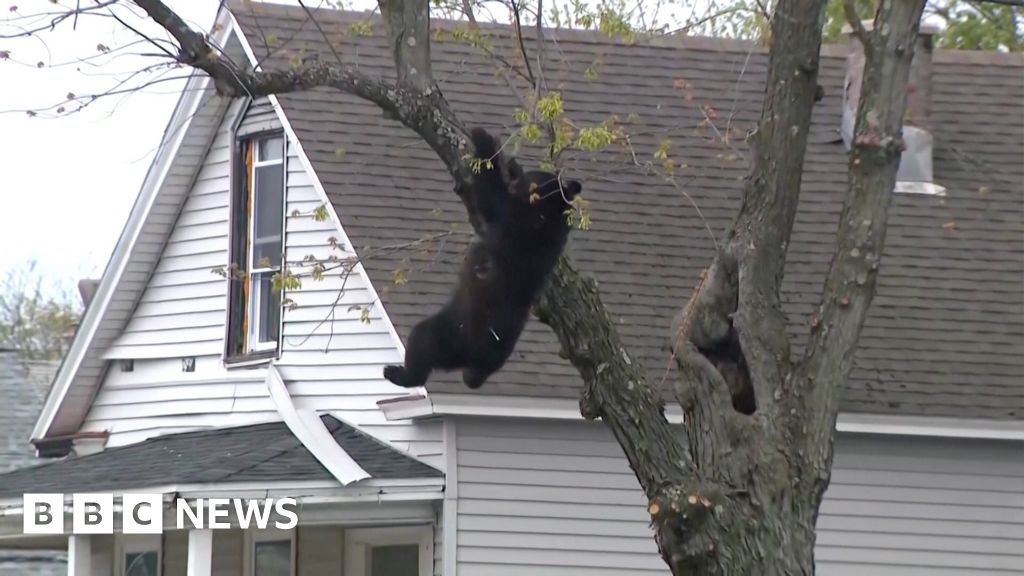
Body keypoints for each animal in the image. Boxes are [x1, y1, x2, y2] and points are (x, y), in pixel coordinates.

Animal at [383, 127, 583, 390]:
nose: (521, 171)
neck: (548, 215)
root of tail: (475, 361)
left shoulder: (517, 221)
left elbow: (491, 197)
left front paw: (483, 139)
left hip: (450, 332)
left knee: (421, 341)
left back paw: (398, 373)